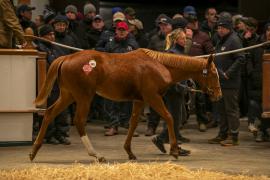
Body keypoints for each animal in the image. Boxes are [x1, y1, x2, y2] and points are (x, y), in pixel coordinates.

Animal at [29, 48, 221, 162]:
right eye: (213, 74)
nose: (218, 95)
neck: (160, 65)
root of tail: (67, 57)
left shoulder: (139, 100)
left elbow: (133, 123)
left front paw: (129, 152)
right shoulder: (153, 97)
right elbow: (169, 117)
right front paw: (174, 150)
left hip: (68, 95)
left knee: (49, 113)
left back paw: (33, 151)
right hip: (84, 97)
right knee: (79, 121)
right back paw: (96, 154)